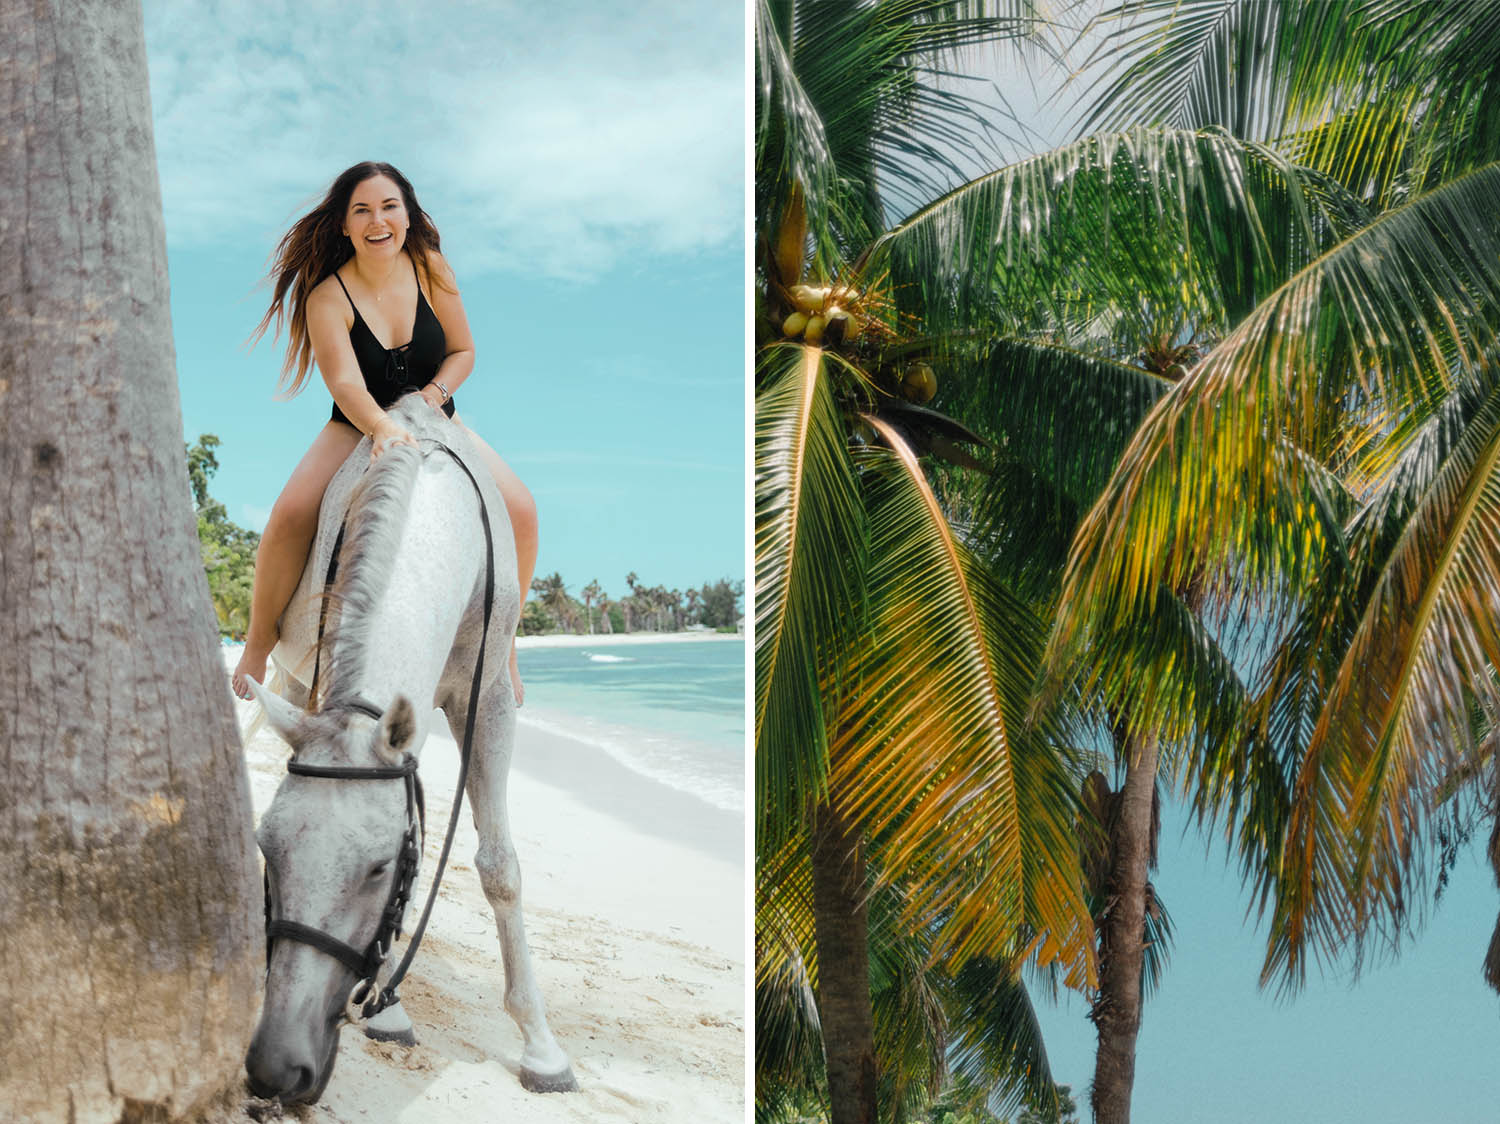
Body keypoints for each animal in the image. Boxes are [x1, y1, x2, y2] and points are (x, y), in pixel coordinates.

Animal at [243, 399, 576, 1098]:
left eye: (379, 868)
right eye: (267, 849)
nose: (276, 1068)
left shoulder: (489, 703)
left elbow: (500, 868)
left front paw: (541, 1048)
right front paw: (389, 1012)